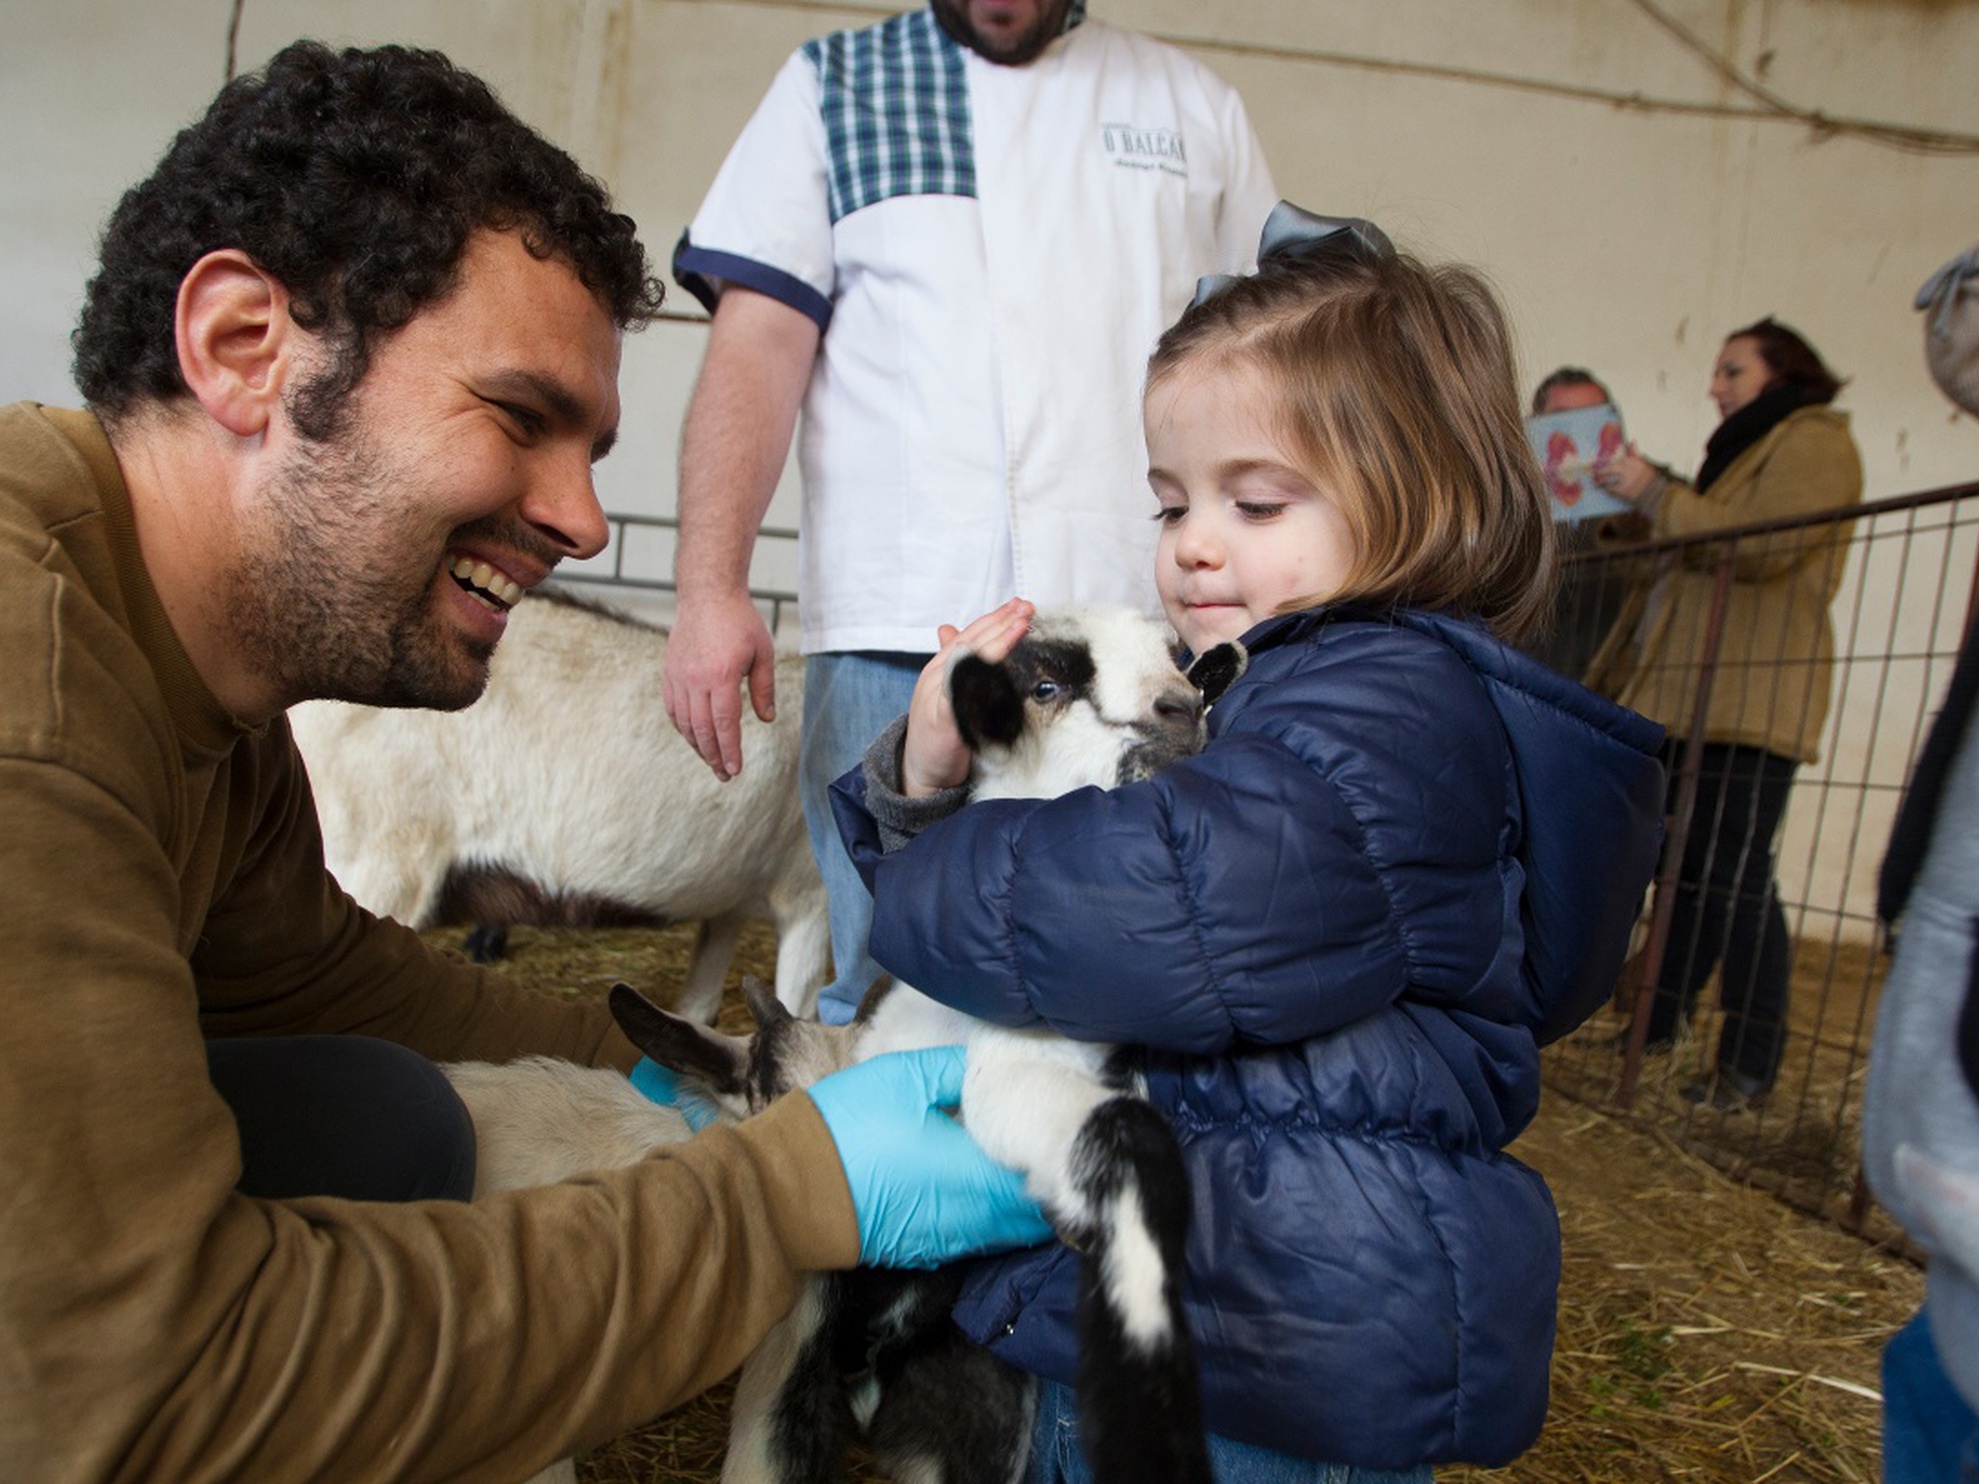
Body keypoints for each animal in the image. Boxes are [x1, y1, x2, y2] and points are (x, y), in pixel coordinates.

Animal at [614, 606, 1247, 1484]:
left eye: (1175, 658)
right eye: (1043, 687)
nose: (1182, 709)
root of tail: (869, 1372)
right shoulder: (991, 1075)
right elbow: (1129, 1134)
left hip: (969, 1417)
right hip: (785, 1397)